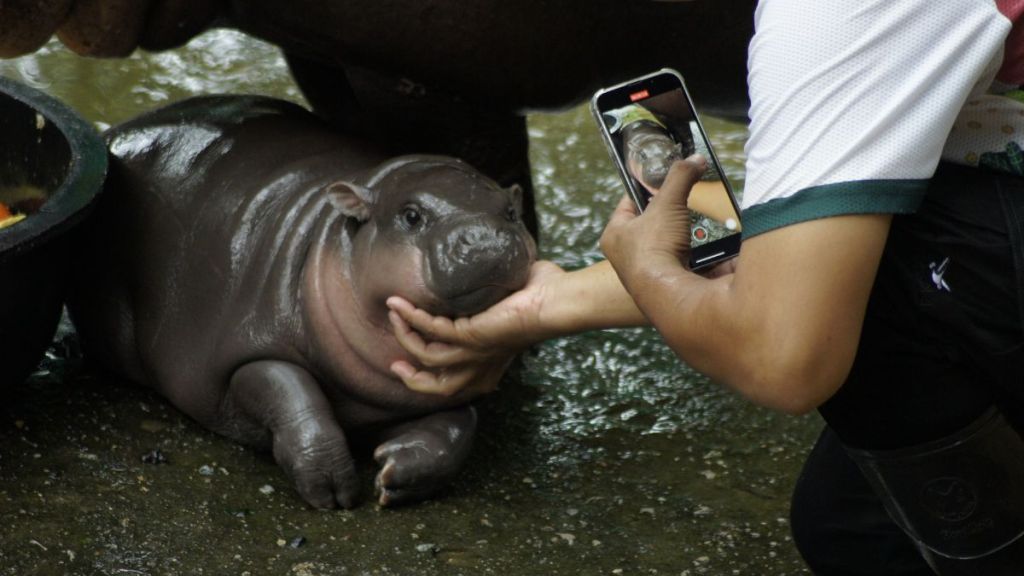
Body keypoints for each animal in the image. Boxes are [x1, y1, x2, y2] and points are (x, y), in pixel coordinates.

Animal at [68, 95, 540, 506]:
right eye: (411, 215)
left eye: (512, 213)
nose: (483, 237)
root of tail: (116, 134)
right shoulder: (246, 353)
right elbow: (295, 396)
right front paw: (333, 491)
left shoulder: (438, 391)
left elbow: (459, 427)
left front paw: (396, 473)